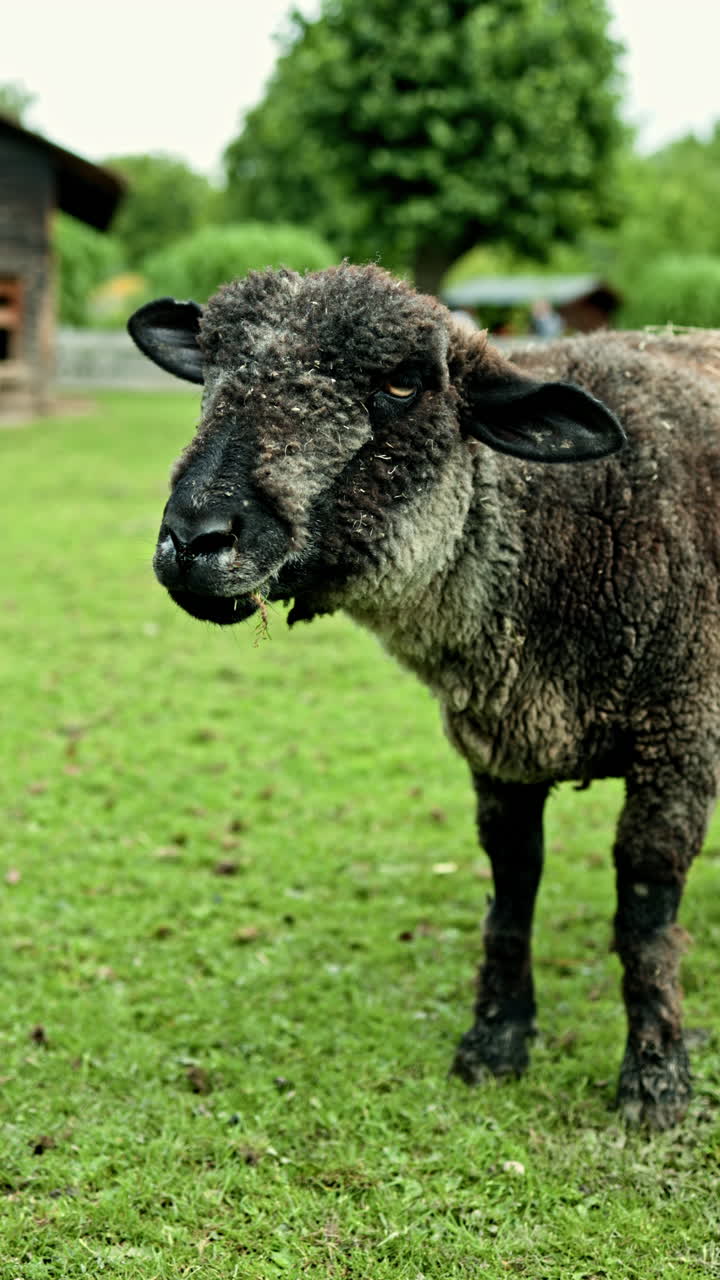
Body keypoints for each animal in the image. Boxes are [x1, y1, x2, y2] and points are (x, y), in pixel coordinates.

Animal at [128, 263, 720, 1129]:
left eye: (403, 383)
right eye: (209, 365)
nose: (195, 539)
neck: (561, 521)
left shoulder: (680, 732)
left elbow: (644, 907)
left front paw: (655, 1081)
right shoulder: (502, 743)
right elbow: (512, 885)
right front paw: (496, 1042)